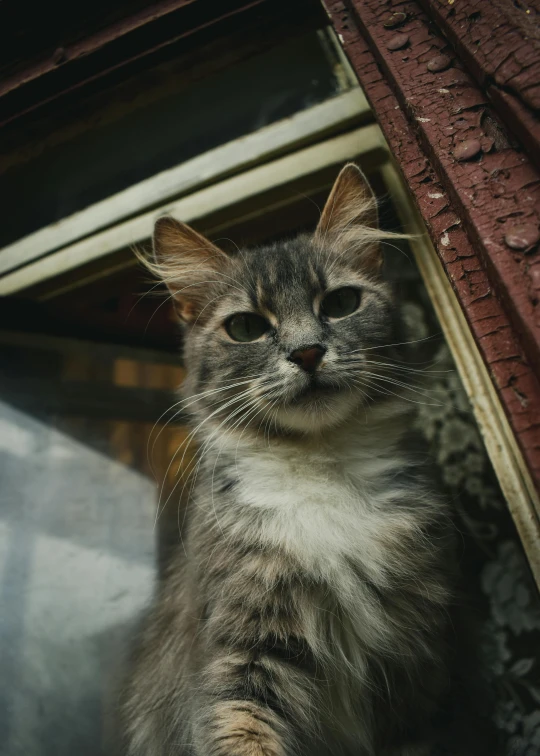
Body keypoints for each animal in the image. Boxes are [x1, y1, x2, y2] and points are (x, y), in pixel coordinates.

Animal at [120, 165, 496, 756]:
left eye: (340, 303)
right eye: (247, 328)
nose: (307, 352)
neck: (322, 468)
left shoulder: (420, 673)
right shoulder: (244, 653)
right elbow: (243, 733)